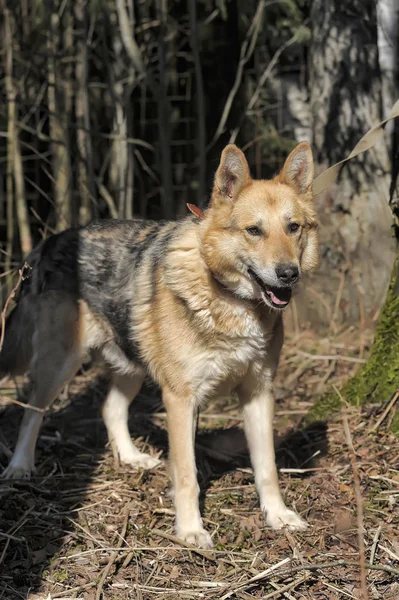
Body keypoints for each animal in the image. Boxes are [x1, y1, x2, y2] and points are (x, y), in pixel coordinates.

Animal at [0, 142, 318, 548]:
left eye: (293, 227)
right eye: (254, 231)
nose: (288, 274)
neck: (228, 300)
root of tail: (48, 242)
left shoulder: (259, 393)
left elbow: (268, 468)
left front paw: (277, 516)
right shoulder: (180, 399)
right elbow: (186, 474)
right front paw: (190, 530)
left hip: (132, 365)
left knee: (110, 409)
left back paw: (131, 458)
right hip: (61, 365)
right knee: (31, 411)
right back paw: (19, 467)